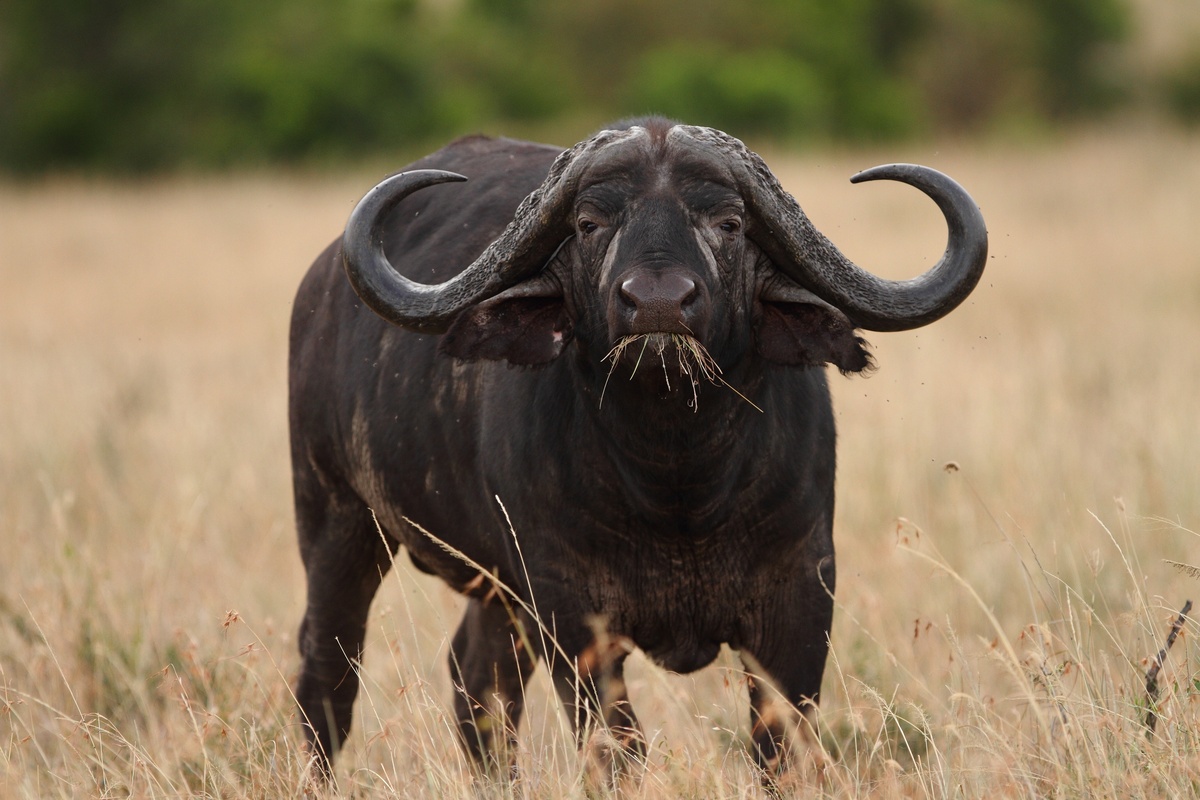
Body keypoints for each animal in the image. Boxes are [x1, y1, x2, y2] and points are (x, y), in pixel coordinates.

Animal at [288, 118, 984, 782]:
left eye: (729, 222)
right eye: (589, 223)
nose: (657, 303)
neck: (678, 483)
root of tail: (321, 287)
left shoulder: (801, 597)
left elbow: (780, 748)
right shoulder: (570, 612)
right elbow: (616, 750)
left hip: (495, 585)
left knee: (478, 684)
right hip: (336, 521)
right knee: (329, 673)